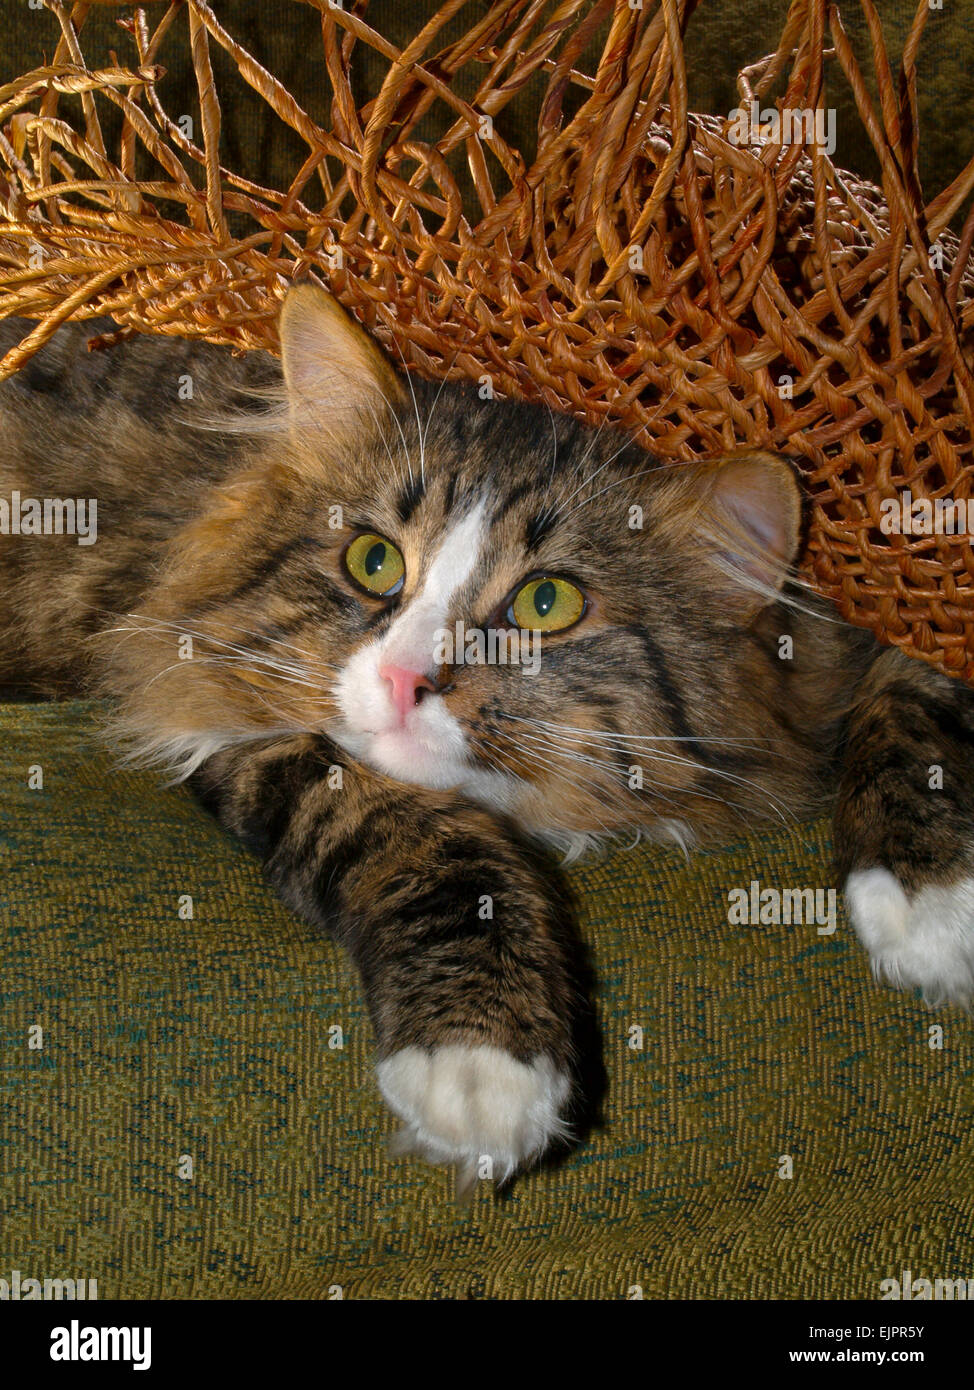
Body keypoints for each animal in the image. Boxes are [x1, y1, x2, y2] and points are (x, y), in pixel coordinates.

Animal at [1, 287, 972, 1189]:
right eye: (373, 562)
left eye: (546, 603)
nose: (404, 681)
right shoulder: (210, 709)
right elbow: (428, 838)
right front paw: (481, 1064)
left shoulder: (876, 636)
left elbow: (913, 707)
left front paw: (932, 902)